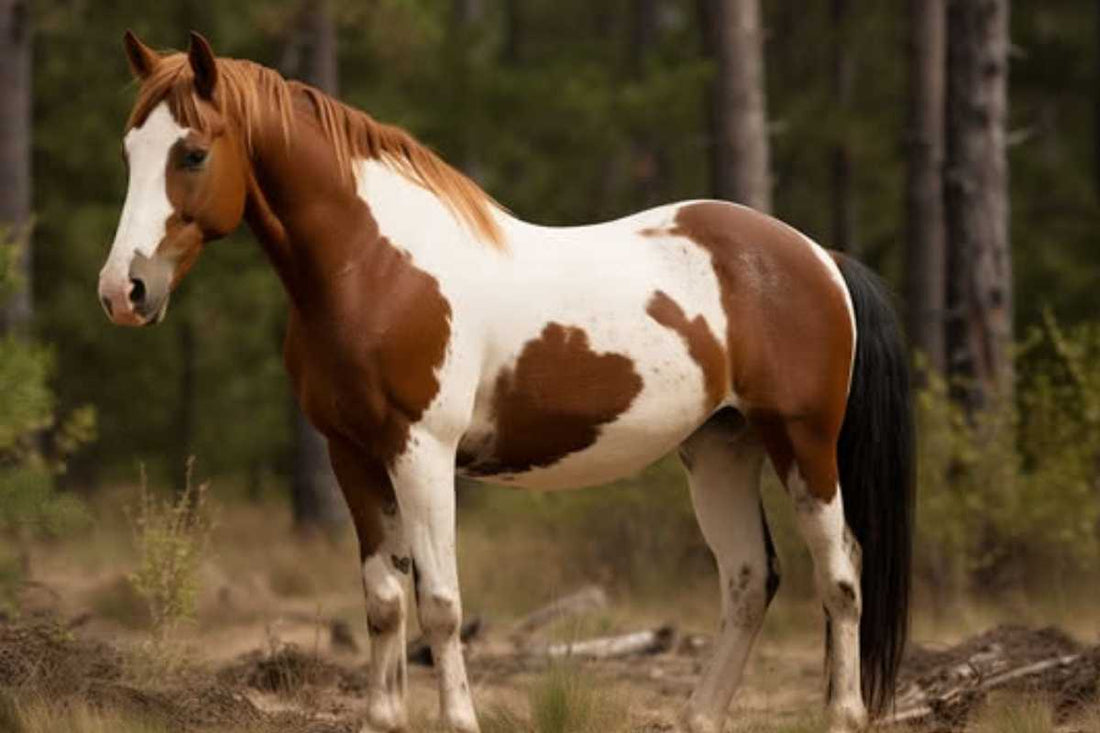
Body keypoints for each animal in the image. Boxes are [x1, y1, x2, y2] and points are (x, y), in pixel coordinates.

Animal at [98, 31, 914, 733]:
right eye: (129, 150)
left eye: (192, 153)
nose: (123, 291)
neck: (377, 269)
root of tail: (819, 256)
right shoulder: (351, 455)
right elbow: (385, 600)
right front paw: (383, 717)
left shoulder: (421, 453)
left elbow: (440, 602)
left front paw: (458, 718)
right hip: (721, 448)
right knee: (748, 580)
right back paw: (700, 715)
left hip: (803, 443)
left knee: (840, 576)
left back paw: (842, 712)